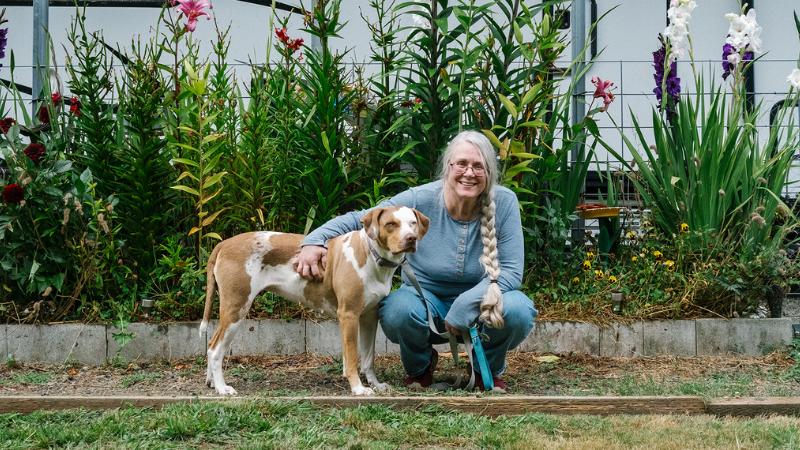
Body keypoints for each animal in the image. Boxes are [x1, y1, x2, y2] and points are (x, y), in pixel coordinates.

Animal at [199, 206, 428, 396]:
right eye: (391, 224)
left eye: (412, 223)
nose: (410, 238)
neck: (371, 255)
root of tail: (224, 243)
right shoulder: (349, 315)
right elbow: (352, 358)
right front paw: (358, 388)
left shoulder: (369, 317)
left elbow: (368, 357)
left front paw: (375, 384)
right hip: (236, 308)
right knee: (215, 349)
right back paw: (222, 387)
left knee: (210, 345)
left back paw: (211, 382)